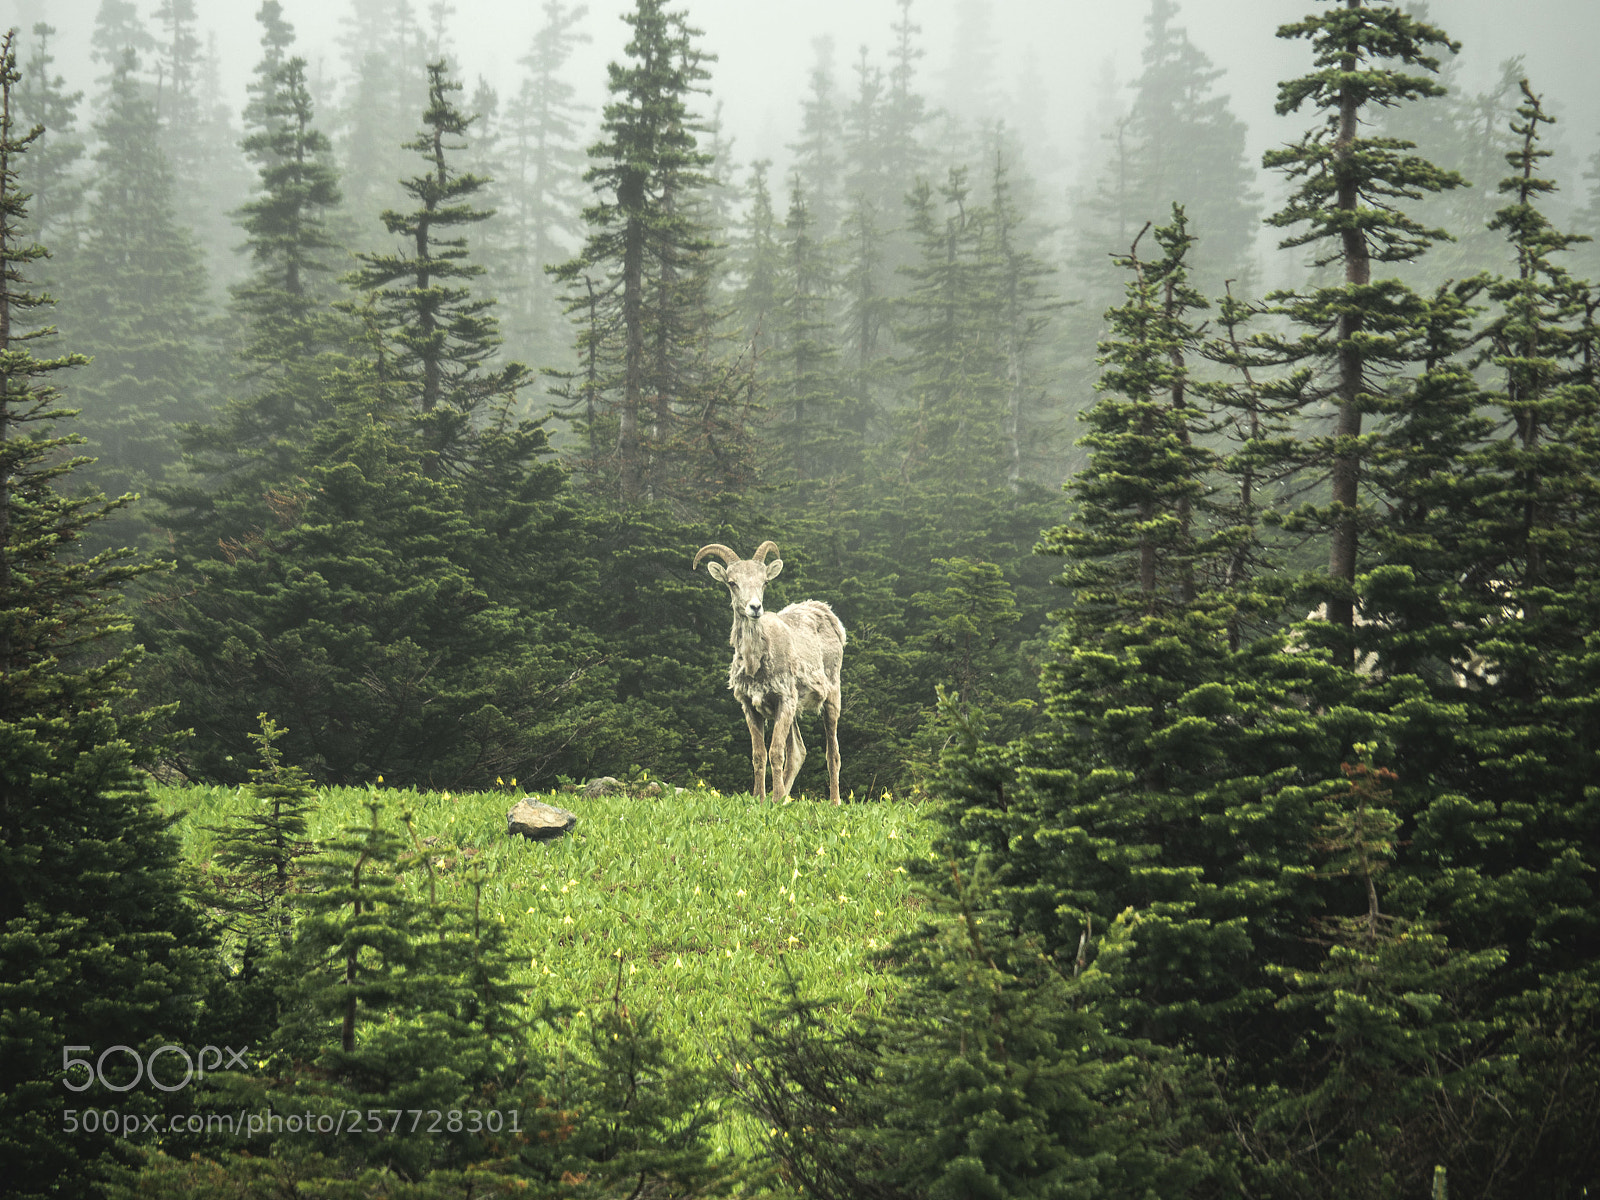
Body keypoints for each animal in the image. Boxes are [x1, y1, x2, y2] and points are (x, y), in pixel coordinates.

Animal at [693, 541, 846, 804]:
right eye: (732, 582)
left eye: (764, 581)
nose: (755, 607)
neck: (756, 665)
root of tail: (827, 614)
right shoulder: (751, 707)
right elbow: (759, 755)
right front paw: (761, 799)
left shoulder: (784, 699)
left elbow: (775, 753)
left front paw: (774, 801)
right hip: (792, 711)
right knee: (798, 752)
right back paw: (785, 796)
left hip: (831, 698)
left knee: (832, 754)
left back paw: (833, 802)